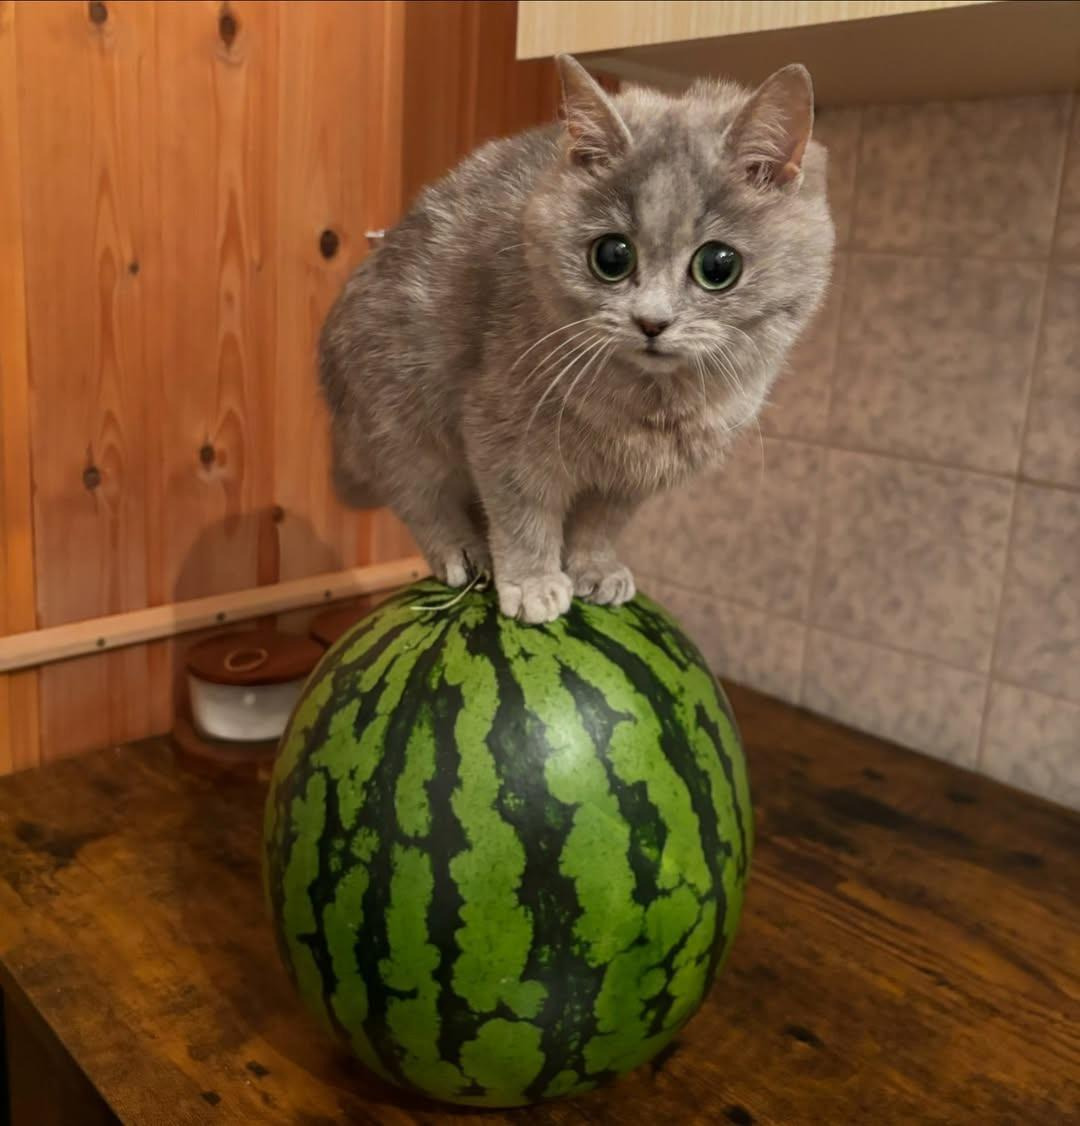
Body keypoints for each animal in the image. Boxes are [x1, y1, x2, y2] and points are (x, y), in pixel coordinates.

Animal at [320, 54, 834, 623]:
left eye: (718, 266)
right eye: (612, 256)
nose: (652, 322)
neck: (649, 405)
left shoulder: (629, 483)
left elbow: (599, 527)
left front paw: (594, 569)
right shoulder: (502, 436)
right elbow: (522, 515)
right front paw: (533, 582)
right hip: (396, 418)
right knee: (420, 497)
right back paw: (462, 553)